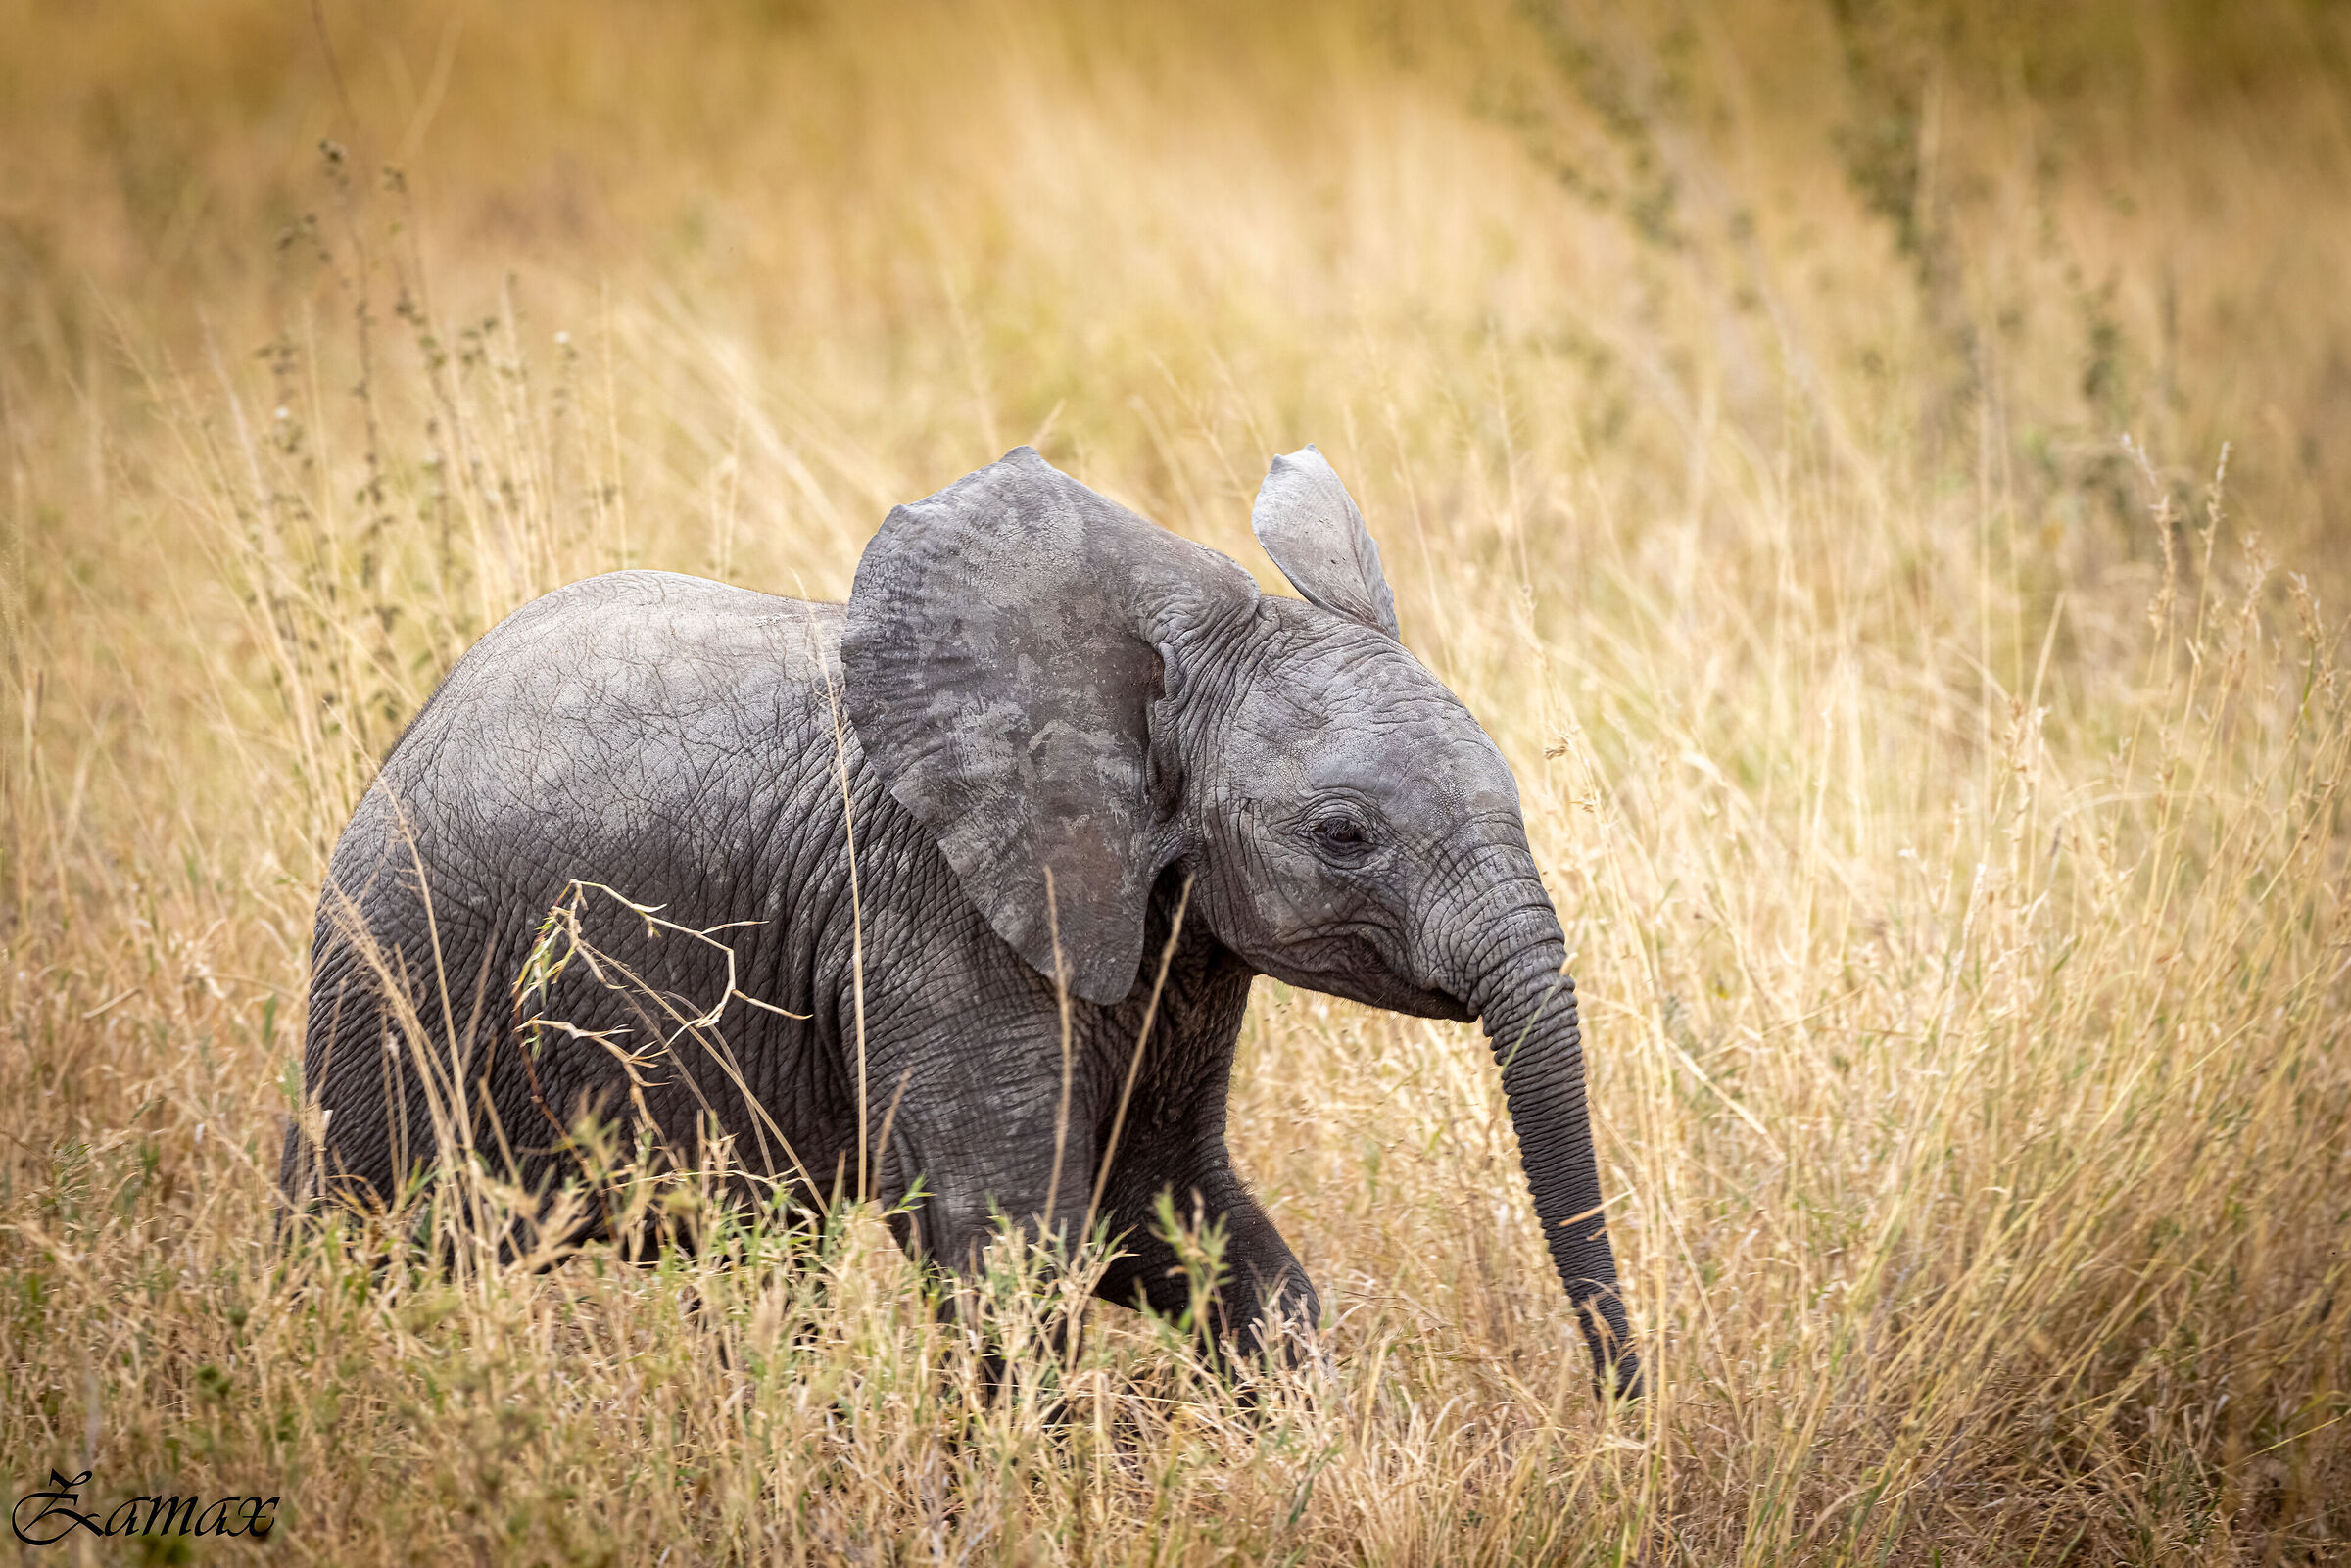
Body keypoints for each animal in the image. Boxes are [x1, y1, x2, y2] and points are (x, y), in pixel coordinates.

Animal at [279, 443, 1639, 1396]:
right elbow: (1010, 1245)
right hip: (399, 961)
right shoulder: (930, 910)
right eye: (1345, 833)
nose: (1619, 1407)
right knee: (361, 1223)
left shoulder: (1168, 926)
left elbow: (1161, 1199)